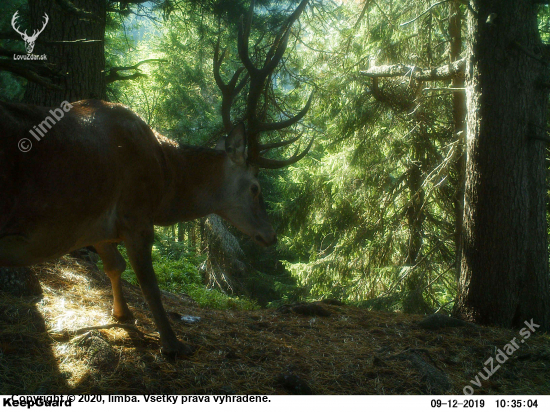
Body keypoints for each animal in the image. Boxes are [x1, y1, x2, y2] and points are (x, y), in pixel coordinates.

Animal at [0, 0, 310, 356]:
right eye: (255, 188)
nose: (271, 236)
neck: (164, 182)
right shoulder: (135, 214)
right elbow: (150, 283)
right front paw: (173, 344)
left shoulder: (97, 225)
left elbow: (114, 266)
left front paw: (122, 315)